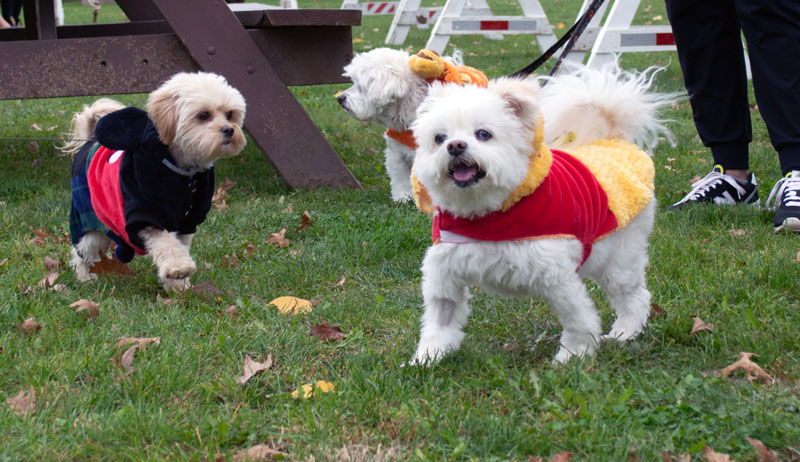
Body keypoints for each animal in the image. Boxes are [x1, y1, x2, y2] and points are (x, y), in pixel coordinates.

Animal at [65, 71, 247, 290]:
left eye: (230, 114)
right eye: (203, 115)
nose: (229, 130)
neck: (182, 173)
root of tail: (89, 141)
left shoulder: (187, 221)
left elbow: (179, 245)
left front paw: (178, 286)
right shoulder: (147, 214)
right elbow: (167, 243)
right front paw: (178, 268)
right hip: (87, 221)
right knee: (82, 251)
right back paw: (85, 277)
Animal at [406, 65, 676, 366]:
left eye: (484, 134)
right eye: (439, 138)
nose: (455, 146)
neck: (487, 217)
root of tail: (615, 141)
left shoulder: (556, 275)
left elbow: (578, 319)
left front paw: (573, 356)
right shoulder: (445, 272)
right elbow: (439, 321)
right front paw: (428, 358)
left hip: (618, 256)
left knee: (634, 296)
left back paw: (625, 332)